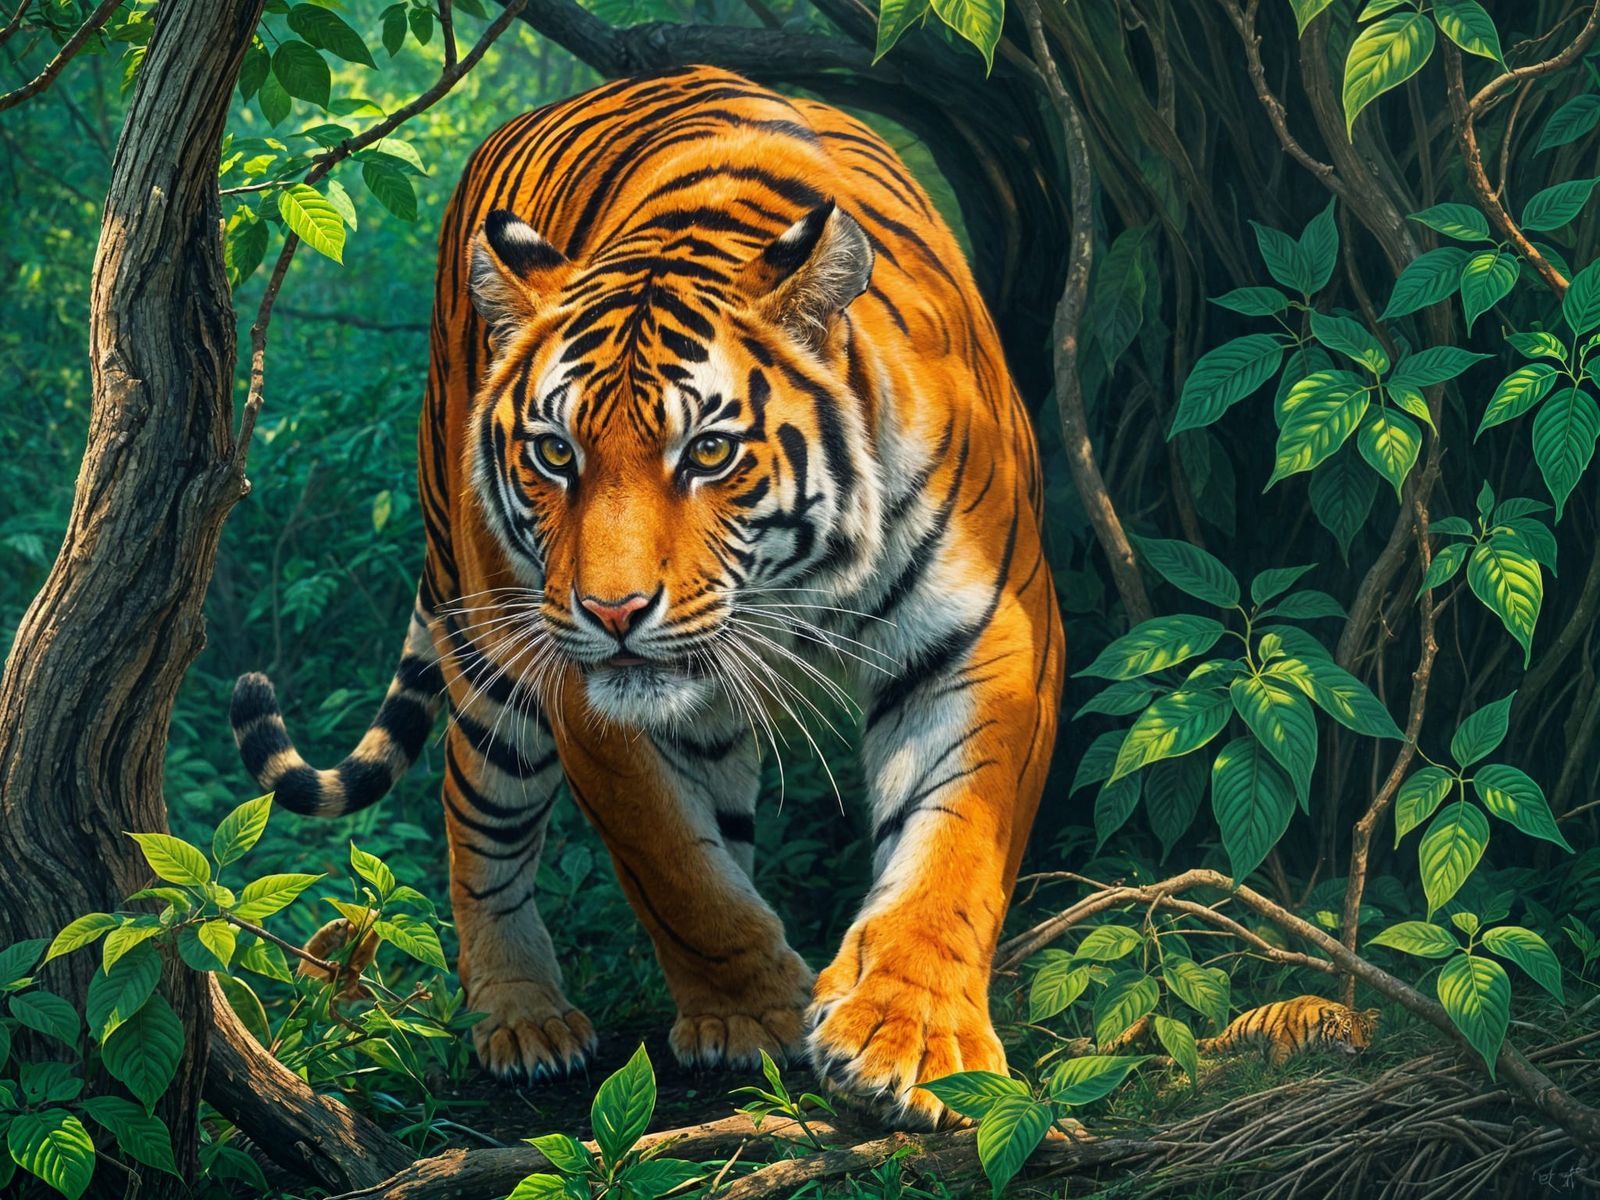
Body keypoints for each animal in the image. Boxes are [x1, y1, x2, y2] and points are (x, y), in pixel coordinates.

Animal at [228, 65, 1063, 1128]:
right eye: (554, 452)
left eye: (708, 452)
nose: (613, 612)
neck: (794, 586)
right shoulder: (582, 687)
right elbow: (675, 868)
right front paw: (755, 1014)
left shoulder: (988, 628)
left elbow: (956, 842)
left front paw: (907, 1038)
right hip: (492, 644)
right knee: (477, 812)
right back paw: (522, 1018)